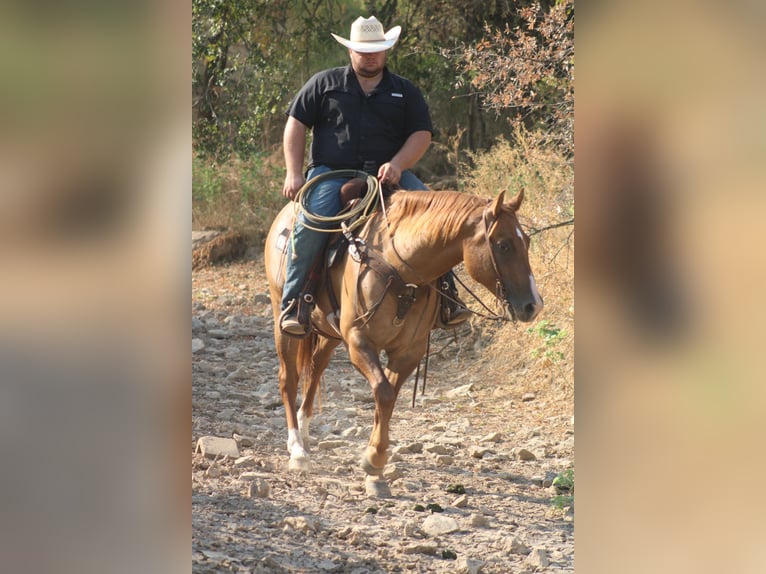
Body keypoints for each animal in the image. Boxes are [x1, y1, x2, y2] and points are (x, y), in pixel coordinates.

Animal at [266, 186, 544, 490]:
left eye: (526, 241)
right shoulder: (359, 342)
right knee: (289, 379)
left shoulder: (409, 351)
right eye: (503, 245)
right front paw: (374, 459)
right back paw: (297, 449)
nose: (534, 305)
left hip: (329, 333)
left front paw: (374, 461)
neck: (399, 267)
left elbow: (387, 397)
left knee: (315, 369)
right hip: (283, 318)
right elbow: (384, 391)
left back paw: (305, 430)